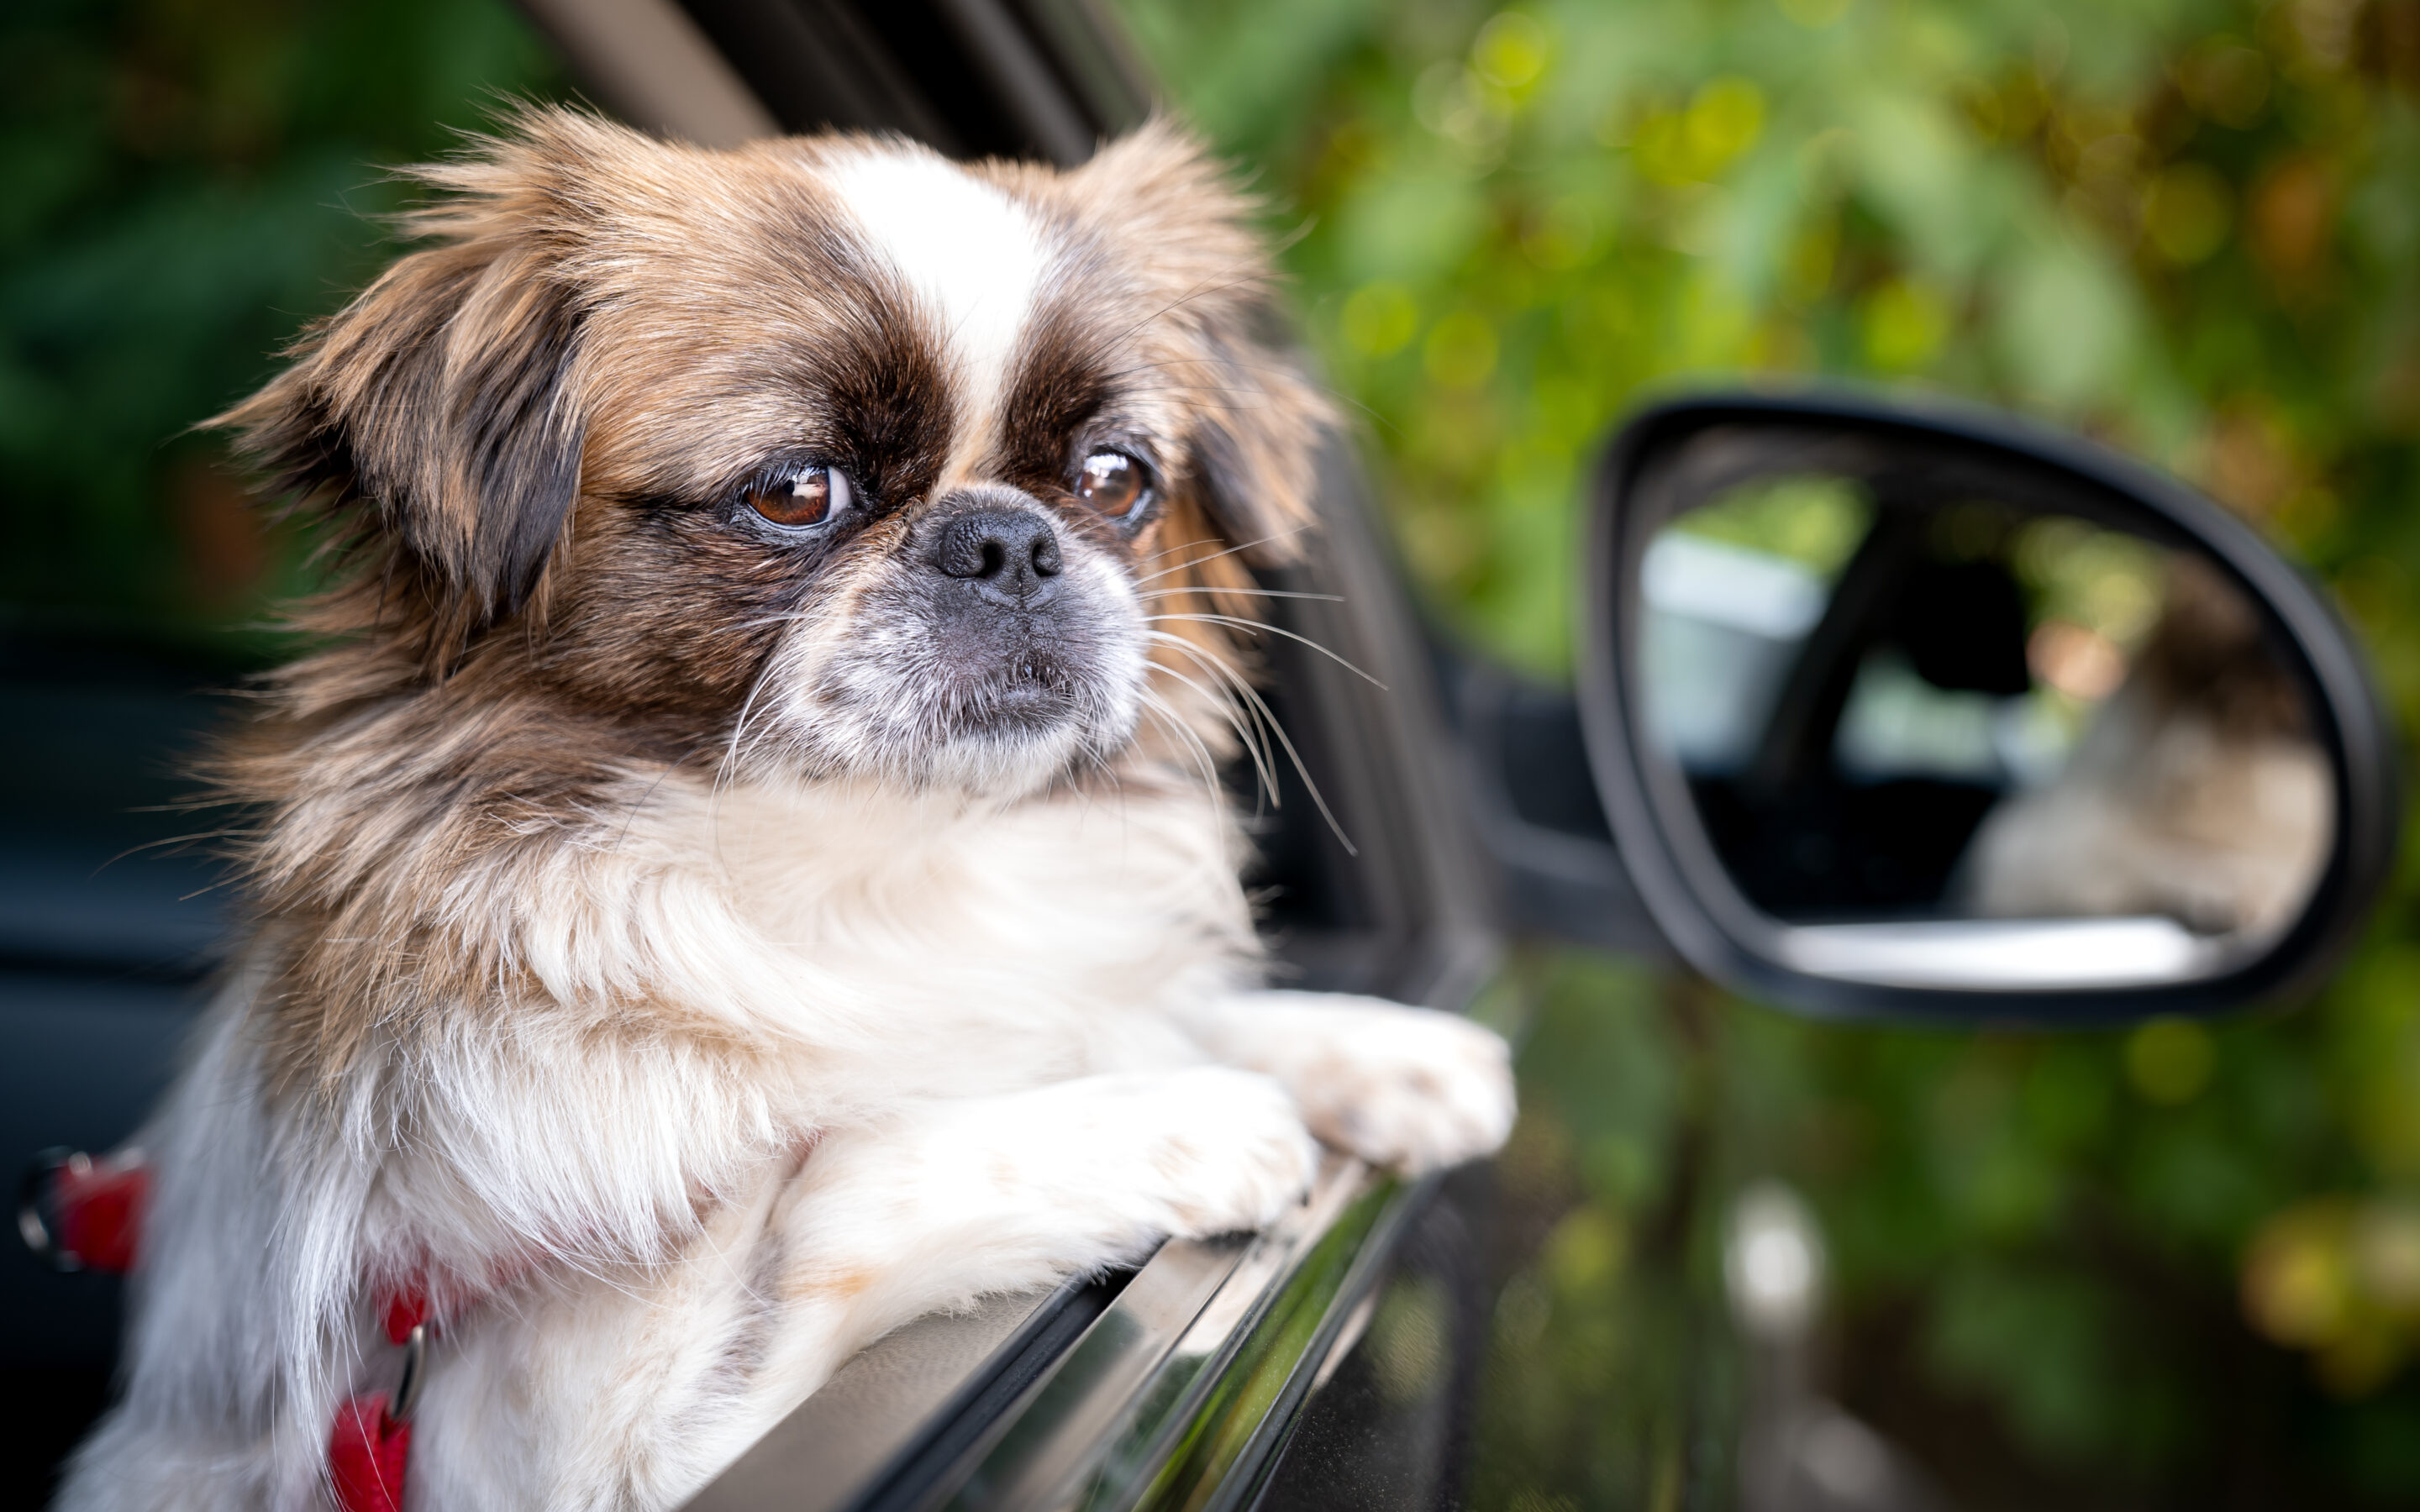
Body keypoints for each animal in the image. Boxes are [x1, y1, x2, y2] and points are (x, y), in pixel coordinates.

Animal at [61, 108, 1510, 1509]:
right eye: (796, 491)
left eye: (1114, 480)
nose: (1009, 540)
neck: (869, 869)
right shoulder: (584, 1434)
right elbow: (850, 1168)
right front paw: (1189, 1120)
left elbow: (1132, 1014)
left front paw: (1383, 1054)